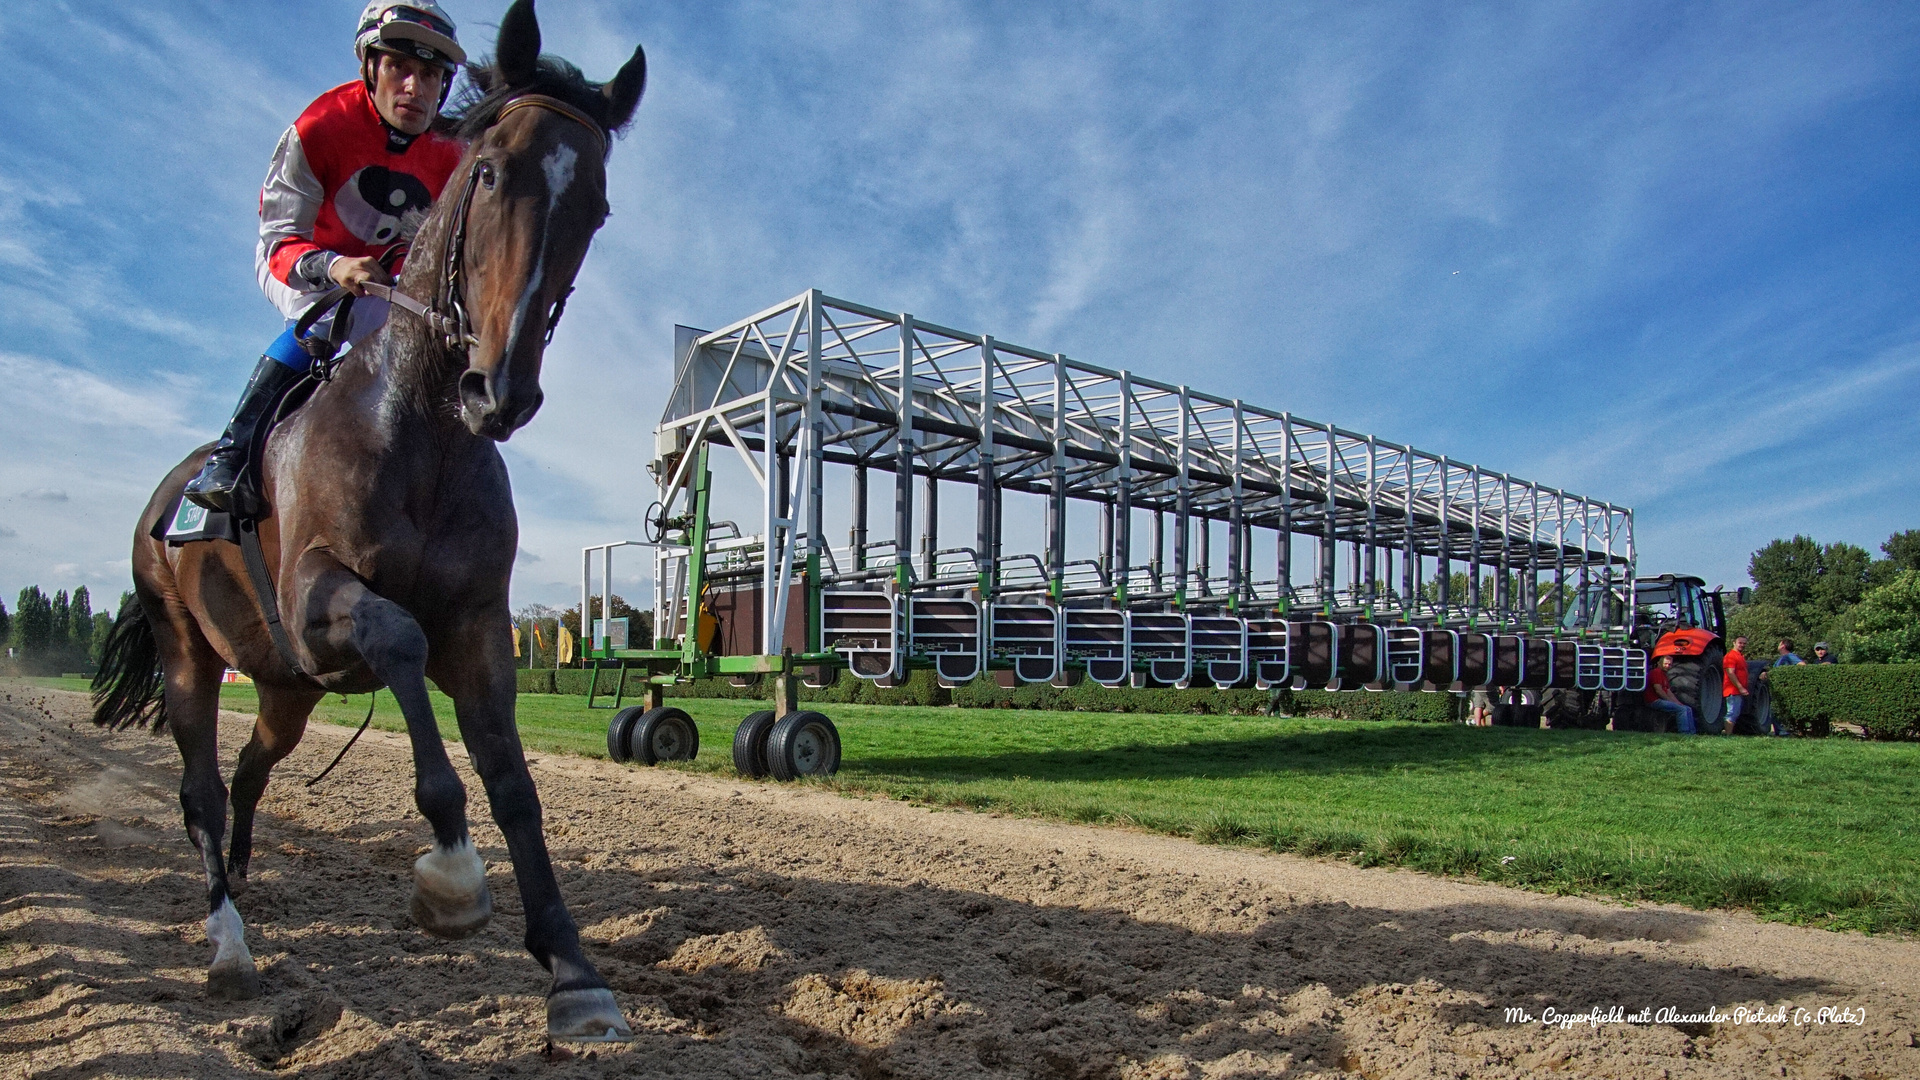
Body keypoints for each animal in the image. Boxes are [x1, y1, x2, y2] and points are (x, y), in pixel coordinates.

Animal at [90, 2, 641, 1045]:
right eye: (490, 172)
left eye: (594, 206)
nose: (500, 391)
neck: (422, 431)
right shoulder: (318, 601)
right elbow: (400, 644)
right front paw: (452, 875)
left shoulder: (479, 623)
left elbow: (516, 785)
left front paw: (575, 972)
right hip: (190, 651)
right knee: (198, 788)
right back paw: (228, 942)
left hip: (282, 689)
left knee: (250, 771)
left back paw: (249, 880)